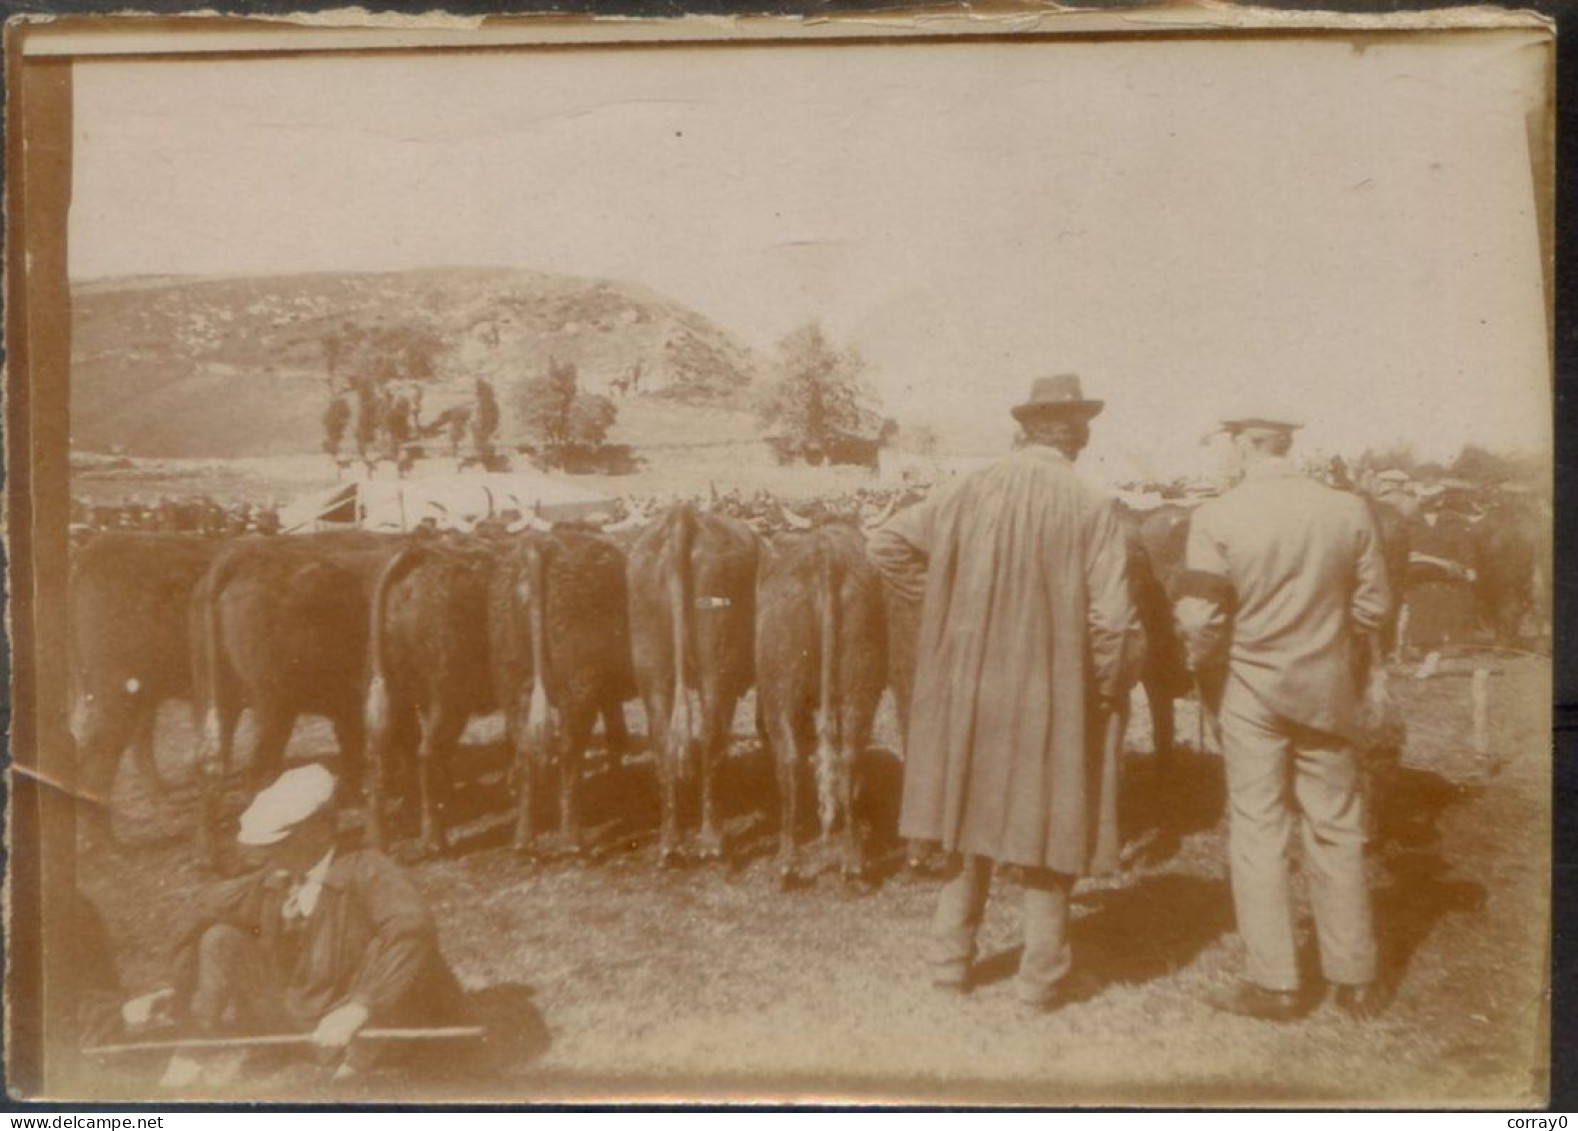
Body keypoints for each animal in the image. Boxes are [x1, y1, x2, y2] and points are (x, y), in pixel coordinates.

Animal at [492, 523, 640, 851]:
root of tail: (543, 544)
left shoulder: (609, 693)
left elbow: (617, 735)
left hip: (515, 684)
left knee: (525, 750)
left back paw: (523, 840)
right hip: (578, 690)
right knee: (570, 752)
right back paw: (573, 839)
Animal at [621, 501, 757, 864]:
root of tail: (685, 516)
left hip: (651, 664)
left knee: (662, 739)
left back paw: (670, 843)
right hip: (717, 668)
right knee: (712, 736)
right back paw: (712, 840)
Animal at [754, 523, 889, 889]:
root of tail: (826, 558)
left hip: (780, 689)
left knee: (788, 760)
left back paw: (787, 862)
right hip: (859, 684)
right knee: (849, 757)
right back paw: (852, 861)